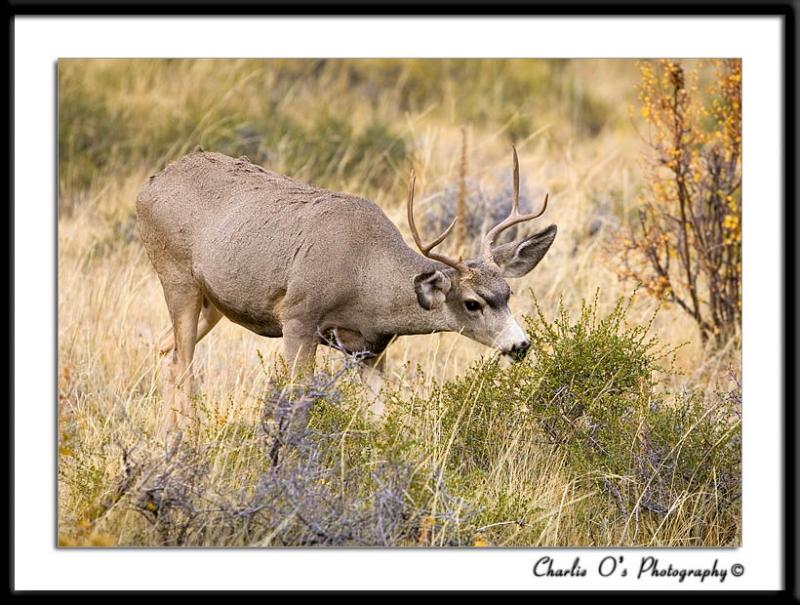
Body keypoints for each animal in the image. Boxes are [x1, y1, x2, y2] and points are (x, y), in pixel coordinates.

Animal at [138, 146, 556, 430]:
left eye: (508, 294)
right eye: (472, 303)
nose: (520, 344)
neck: (364, 277)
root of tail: (149, 186)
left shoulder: (371, 347)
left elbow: (381, 417)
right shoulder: (298, 317)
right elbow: (298, 402)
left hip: (213, 303)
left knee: (164, 349)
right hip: (177, 276)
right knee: (182, 364)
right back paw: (186, 440)